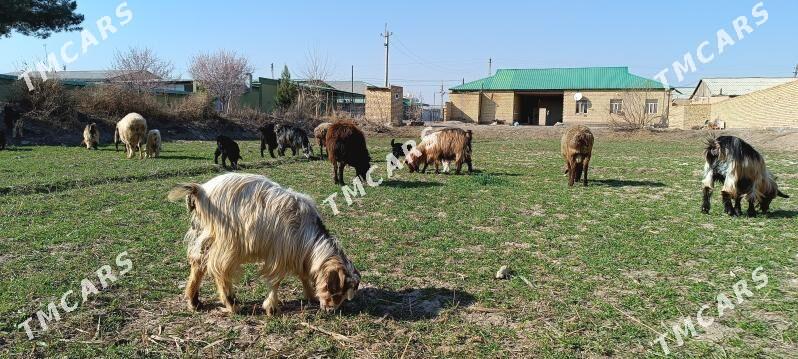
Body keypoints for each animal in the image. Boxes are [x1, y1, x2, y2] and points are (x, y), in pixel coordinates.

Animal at [169, 173, 362, 316]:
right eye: (338, 290)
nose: (331, 309)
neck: (306, 233)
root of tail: (200, 190)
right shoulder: (279, 254)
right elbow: (275, 281)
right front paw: (271, 308)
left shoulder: (296, 254)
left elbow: (303, 275)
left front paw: (311, 295)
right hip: (228, 243)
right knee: (218, 270)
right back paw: (232, 304)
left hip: (204, 234)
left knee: (198, 263)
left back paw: (194, 301)